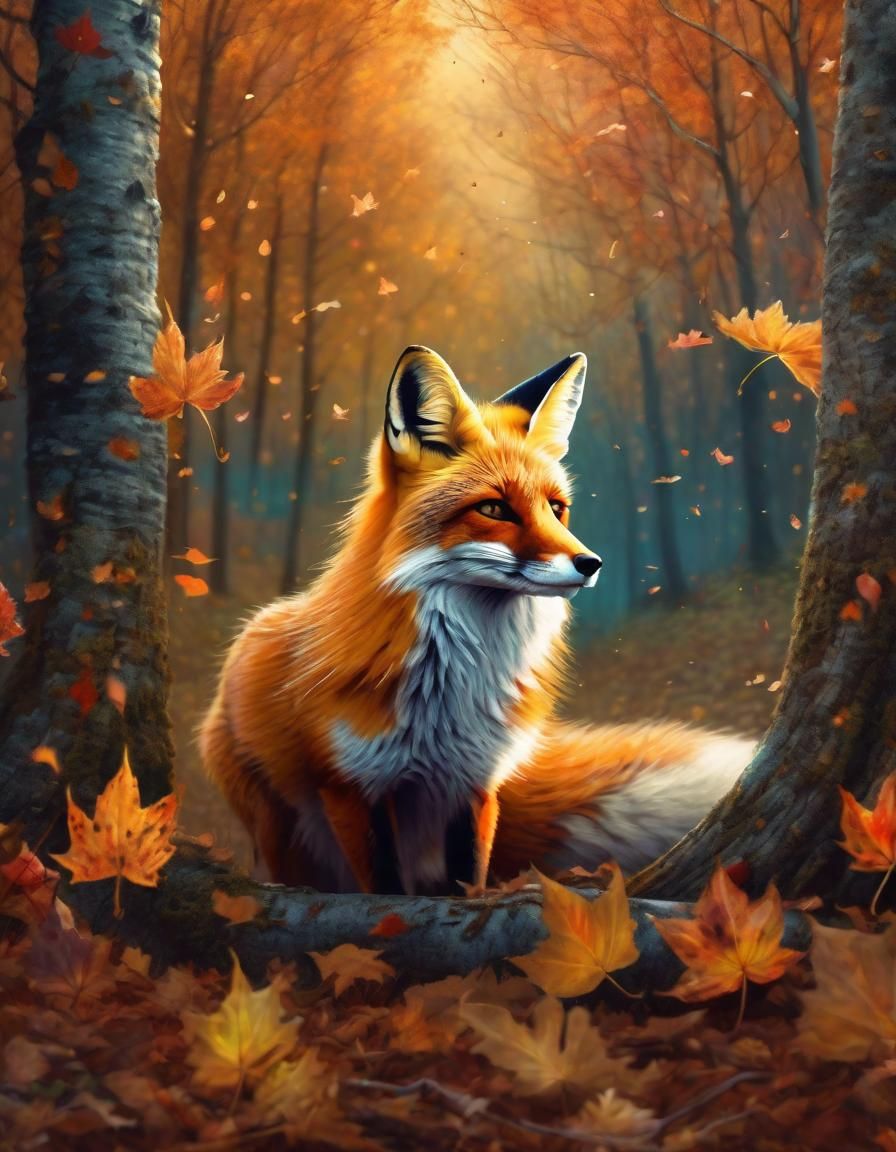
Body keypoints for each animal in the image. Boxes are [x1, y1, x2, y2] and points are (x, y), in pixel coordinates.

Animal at [200, 345, 752, 896]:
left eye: (556, 508)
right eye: (494, 509)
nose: (591, 563)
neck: (448, 695)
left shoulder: (475, 785)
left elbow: (468, 882)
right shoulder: (350, 789)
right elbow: (385, 889)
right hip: (278, 827)